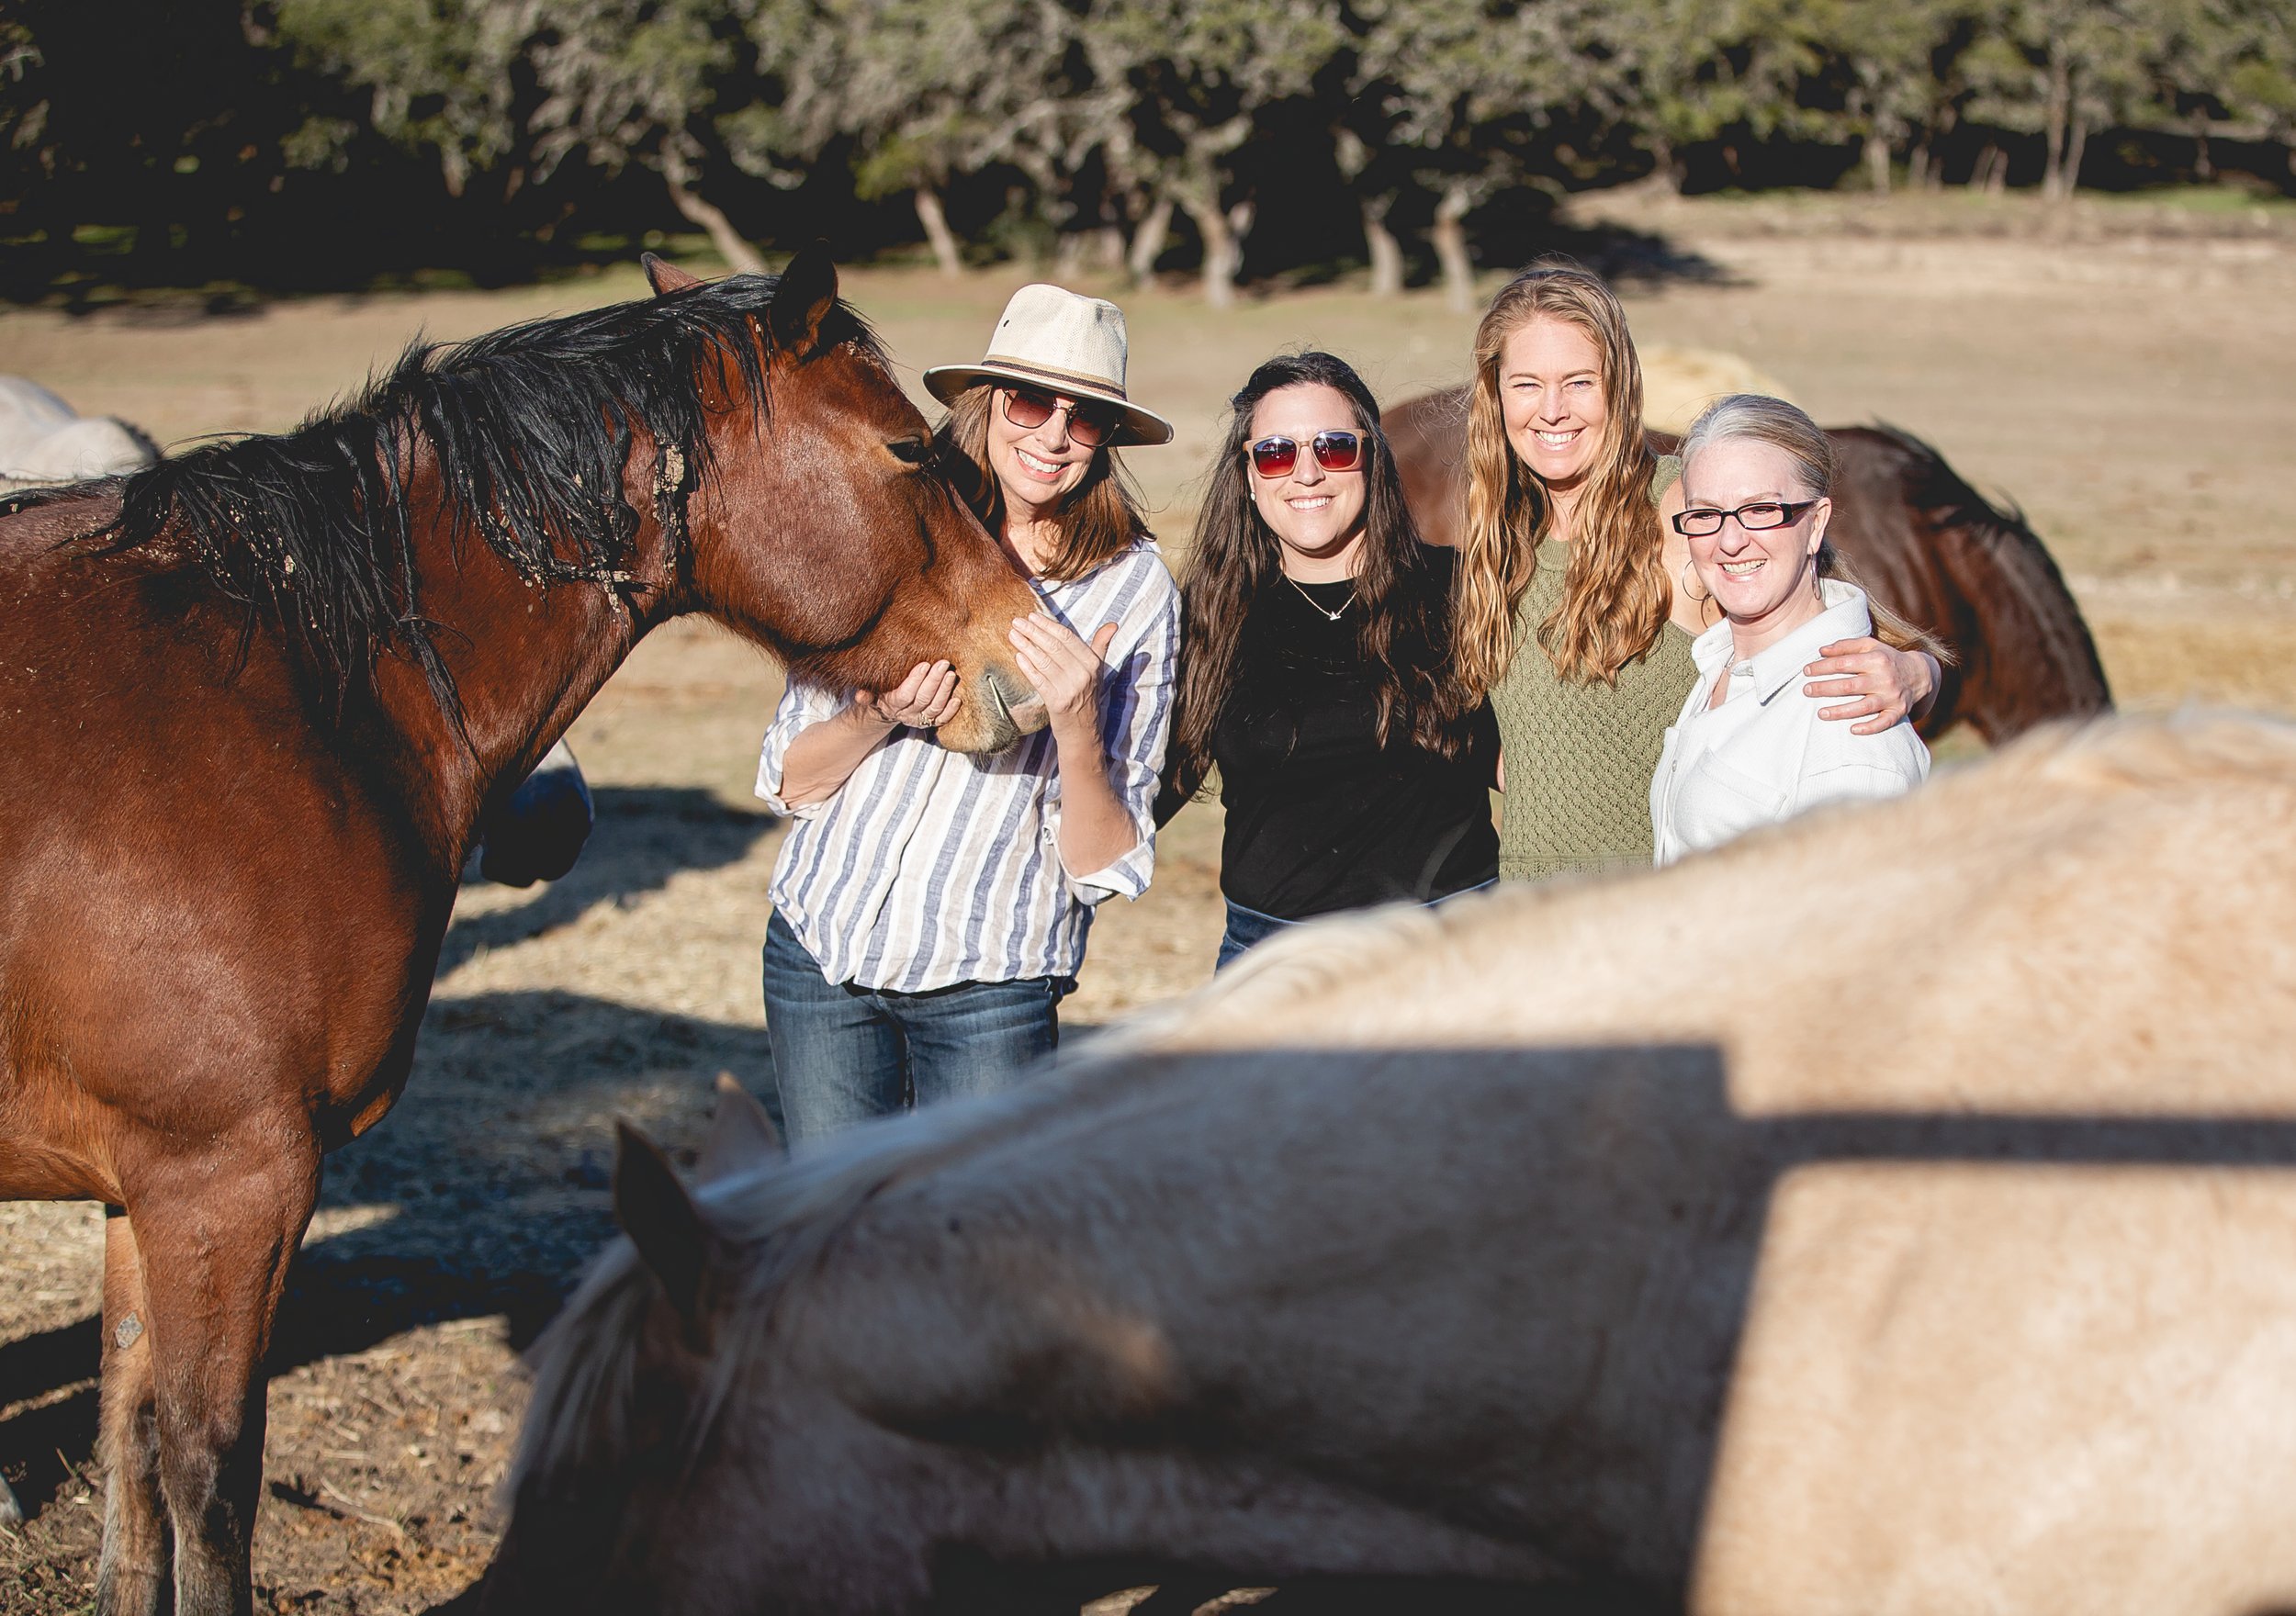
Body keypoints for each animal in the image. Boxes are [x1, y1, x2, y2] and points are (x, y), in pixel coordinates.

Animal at [0, 249, 1045, 1616]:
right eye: (912, 448)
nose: (1040, 656)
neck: (287, 690)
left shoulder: (144, 1189)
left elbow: (128, 1453)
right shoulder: (224, 1179)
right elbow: (209, 1477)